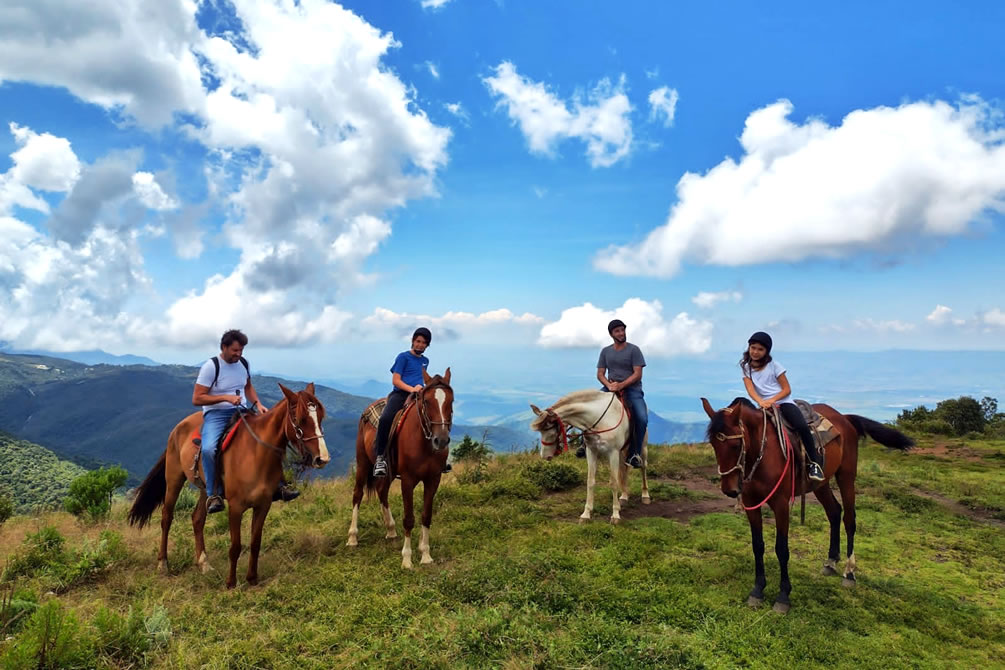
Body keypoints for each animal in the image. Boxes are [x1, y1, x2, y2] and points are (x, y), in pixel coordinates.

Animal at [129, 385, 329, 590]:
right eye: (300, 419)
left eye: (320, 417)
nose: (322, 458)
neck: (256, 454)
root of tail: (179, 426)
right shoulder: (235, 507)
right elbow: (235, 546)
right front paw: (231, 583)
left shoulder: (263, 505)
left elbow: (255, 542)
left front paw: (252, 579)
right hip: (174, 479)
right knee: (166, 518)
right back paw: (163, 564)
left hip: (206, 490)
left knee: (197, 519)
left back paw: (204, 563)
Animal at [347, 369, 454, 570]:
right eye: (427, 402)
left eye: (451, 401)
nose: (441, 440)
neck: (424, 442)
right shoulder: (408, 480)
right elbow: (409, 518)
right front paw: (407, 559)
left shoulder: (433, 479)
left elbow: (426, 516)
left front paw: (425, 554)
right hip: (363, 463)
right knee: (357, 494)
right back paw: (352, 537)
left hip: (387, 473)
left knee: (382, 491)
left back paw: (390, 529)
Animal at [526, 389, 651, 526]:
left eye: (551, 431)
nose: (544, 456)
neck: (600, 420)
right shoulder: (591, 451)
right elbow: (590, 481)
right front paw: (586, 514)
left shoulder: (612, 452)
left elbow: (613, 483)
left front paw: (615, 515)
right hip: (622, 451)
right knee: (624, 469)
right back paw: (623, 496)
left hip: (642, 448)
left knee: (643, 467)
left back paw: (645, 495)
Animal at [699, 397, 912, 614]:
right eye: (713, 444)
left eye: (735, 445)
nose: (730, 490)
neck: (762, 453)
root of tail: (845, 418)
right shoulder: (752, 503)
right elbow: (757, 545)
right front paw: (757, 590)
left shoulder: (781, 504)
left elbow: (781, 549)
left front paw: (783, 596)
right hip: (821, 484)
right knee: (834, 512)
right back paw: (831, 562)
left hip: (846, 476)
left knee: (849, 519)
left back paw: (849, 573)